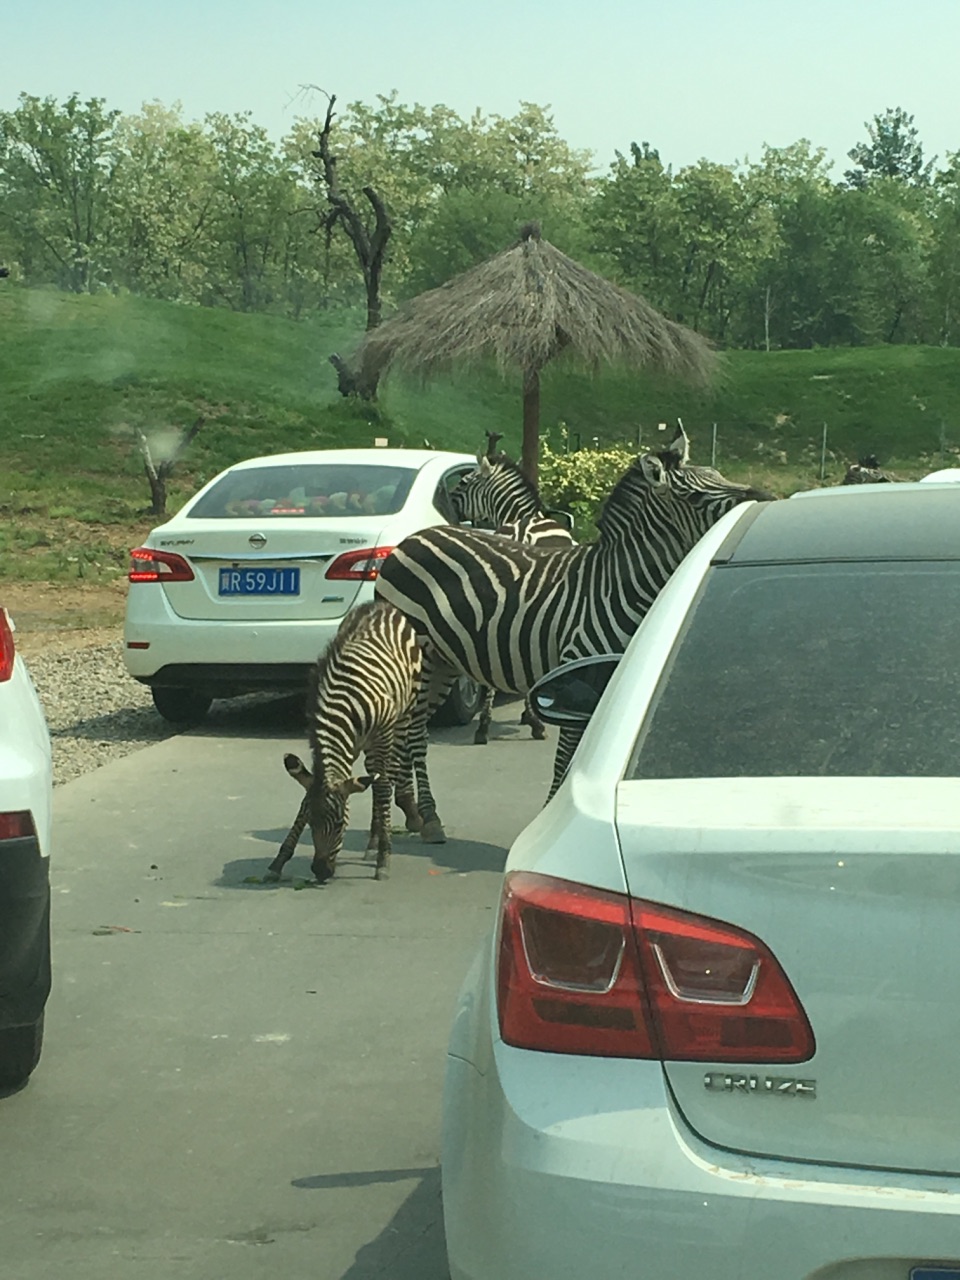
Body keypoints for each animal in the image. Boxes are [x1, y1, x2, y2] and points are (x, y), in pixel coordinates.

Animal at [261, 596, 430, 880]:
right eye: (309, 822)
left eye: (341, 824)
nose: (320, 871)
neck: (339, 711)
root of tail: (381, 605)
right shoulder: (340, 747)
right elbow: (311, 796)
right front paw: (279, 860)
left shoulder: (382, 731)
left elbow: (383, 787)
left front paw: (384, 859)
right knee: (373, 774)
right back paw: (372, 841)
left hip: (403, 714)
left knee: (387, 775)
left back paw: (380, 842)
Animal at [450, 455, 576, 747]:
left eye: (463, 482)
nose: (449, 504)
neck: (518, 515)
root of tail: (522, 532)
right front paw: (531, 717)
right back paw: (535, 724)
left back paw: (483, 727)